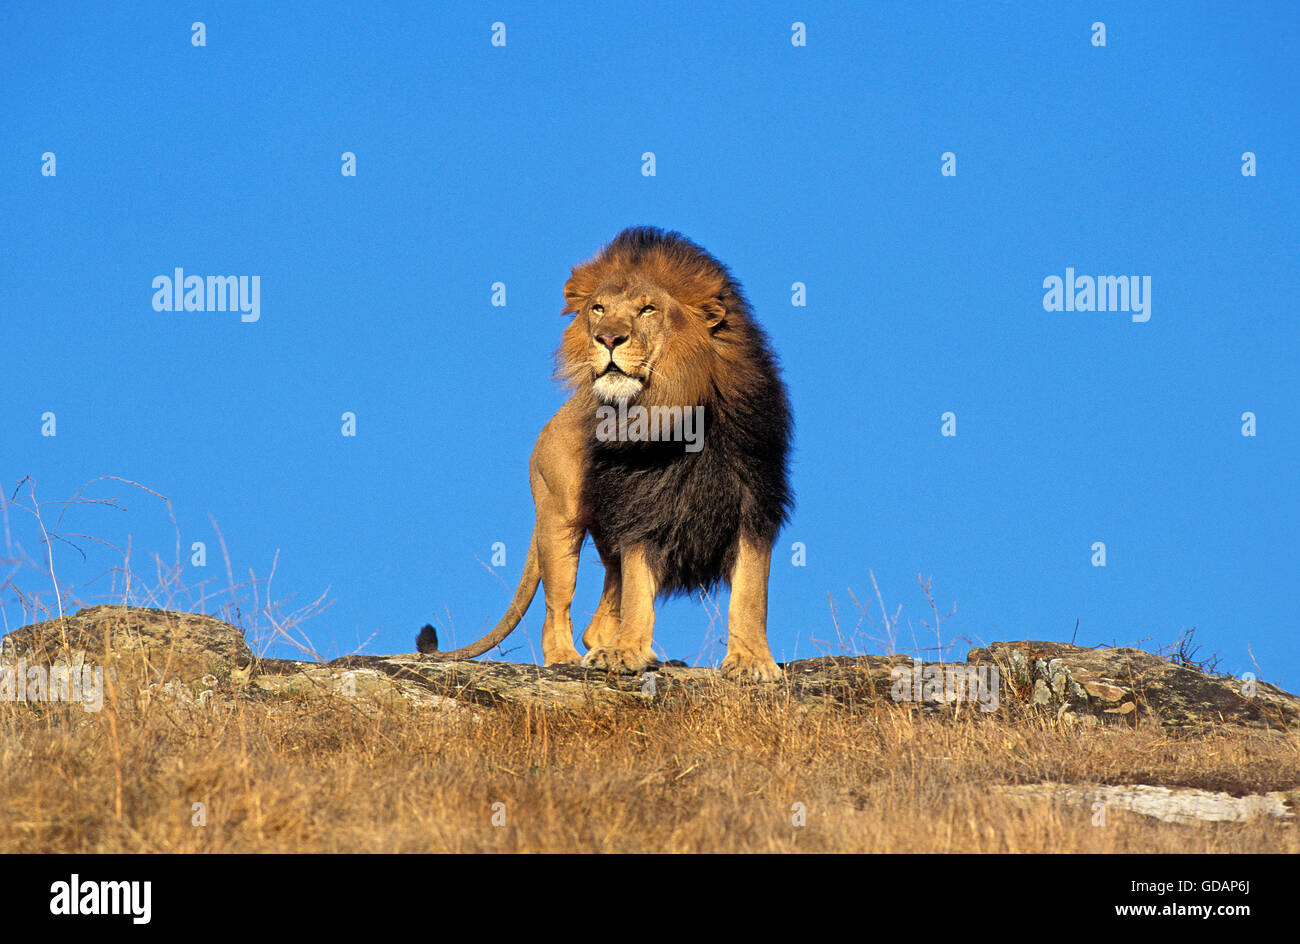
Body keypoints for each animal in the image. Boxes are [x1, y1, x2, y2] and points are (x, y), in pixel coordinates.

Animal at [421, 227, 795, 681]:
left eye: (648, 309)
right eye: (598, 309)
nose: (608, 338)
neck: (677, 414)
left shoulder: (753, 502)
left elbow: (750, 592)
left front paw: (752, 661)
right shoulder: (641, 512)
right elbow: (638, 590)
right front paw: (625, 653)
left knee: (597, 622)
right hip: (559, 518)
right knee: (557, 608)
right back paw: (567, 660)